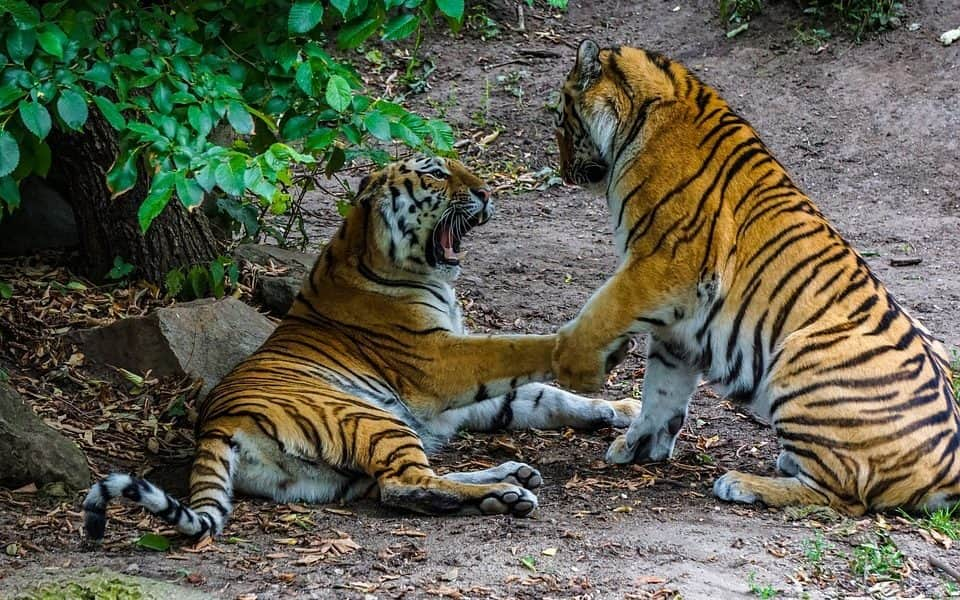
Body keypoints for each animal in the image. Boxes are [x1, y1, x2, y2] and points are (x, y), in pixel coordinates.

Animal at [80, 157, 636, 540]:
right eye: (437, 174)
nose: (486, 192)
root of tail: (216, 425)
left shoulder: (461, 399)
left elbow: (547, 397)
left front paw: (622, 410)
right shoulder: (441, 362)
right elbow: (515, 349)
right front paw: (586, 350)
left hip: (337, 474)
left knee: (406, 482)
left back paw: (511, 479)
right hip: (369, 417)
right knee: (405, 483)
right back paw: (506, 492)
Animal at [548, 41, 960, 516]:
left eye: (561, 121)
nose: (564, 173)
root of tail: (951, 466)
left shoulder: (662, 265)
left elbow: (602, 310)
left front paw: (571, 361)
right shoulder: (679, 323)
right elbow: (661, 390)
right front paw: (638, 445)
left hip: (800, 357)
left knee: (840, 494)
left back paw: (742, 483)